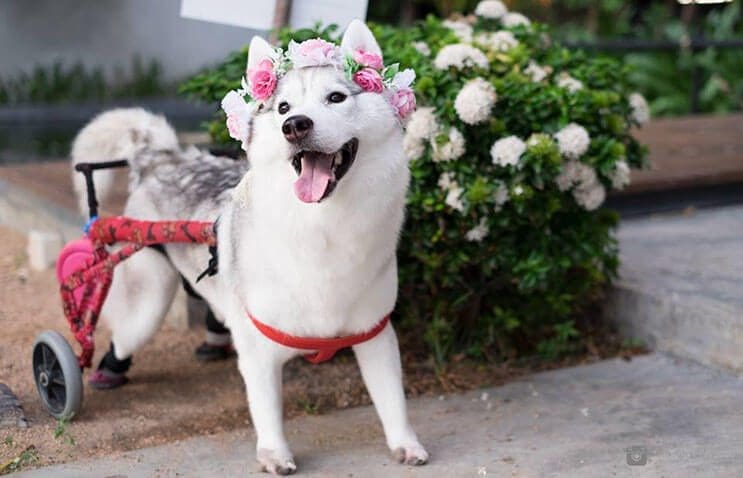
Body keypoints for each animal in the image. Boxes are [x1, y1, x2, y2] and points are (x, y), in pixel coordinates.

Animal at [74, 21, 430, 474]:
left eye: (336, 97)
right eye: (282, 107)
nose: (295, 125)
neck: (323, 228)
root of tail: (165, 159)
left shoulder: (376, 334)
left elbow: (393, 400)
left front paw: (405, 443)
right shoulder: (260, 351)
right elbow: (267, 408)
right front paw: (275, 453)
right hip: (148, 303)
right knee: (123, 337)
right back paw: (107, 371)